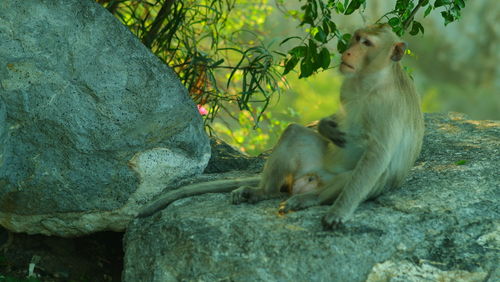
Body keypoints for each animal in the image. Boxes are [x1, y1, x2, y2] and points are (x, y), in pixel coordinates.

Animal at [138, 22, 422, 229]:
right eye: (356, 38)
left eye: (367, 43)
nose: (348, 52)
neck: (370, 79)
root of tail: (312, 179)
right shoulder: (348, 85)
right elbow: (338, 119)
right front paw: (326, 126)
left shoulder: (388, 107)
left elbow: (377, 156)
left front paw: (339, 212)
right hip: (311, 165)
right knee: (293, 133)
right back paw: (263, 192)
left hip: (350, 182)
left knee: (370, 172)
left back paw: (310, 199)